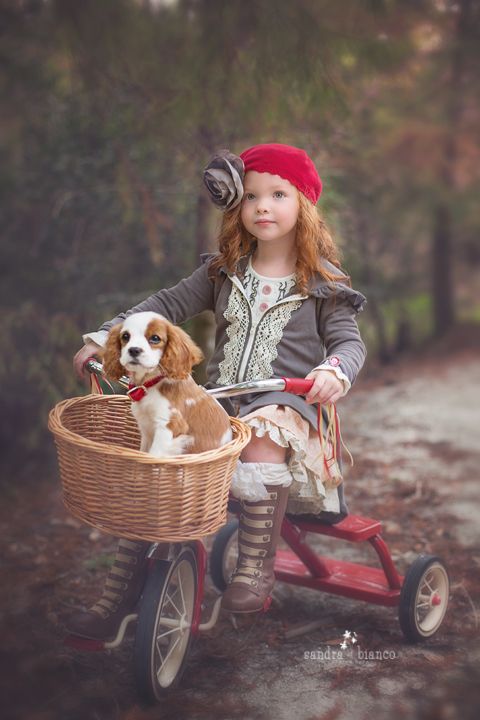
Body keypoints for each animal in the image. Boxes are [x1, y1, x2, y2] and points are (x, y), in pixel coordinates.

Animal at [103, 310, 232, 456]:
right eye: (125, 336)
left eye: (155, 338)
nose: (134, 350)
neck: (149, 383)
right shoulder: (146, 430)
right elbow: (144, 452)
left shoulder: (168, 425)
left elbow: (153, 455)